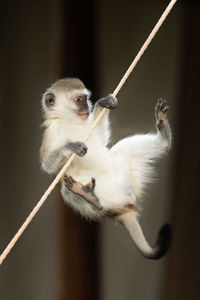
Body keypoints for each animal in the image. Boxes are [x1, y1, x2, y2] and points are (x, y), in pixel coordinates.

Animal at [40, 78, 172, 260]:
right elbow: (48, 165)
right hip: (109, 198)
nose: (86, 107)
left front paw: (102, 103)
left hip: (126, 183)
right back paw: (90, 197)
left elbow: (101, 139)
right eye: (78, 100)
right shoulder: (54, 132)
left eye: (85, 98)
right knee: (66, 191)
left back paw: (164, 138)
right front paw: (71, 147)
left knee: (123, 150)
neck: (70, 122)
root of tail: (124, 208)